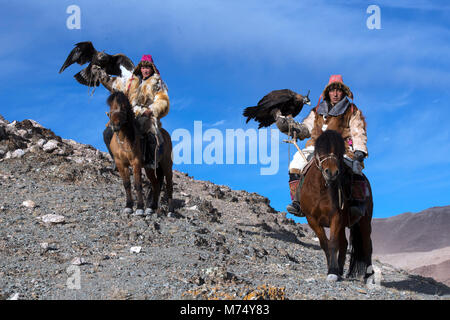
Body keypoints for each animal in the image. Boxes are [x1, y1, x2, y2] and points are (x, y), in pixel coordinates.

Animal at [300, 130, 374, 282]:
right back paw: (340, 269)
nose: (332, 172)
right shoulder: (312, 219)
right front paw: (332, 269)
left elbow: (333, 243)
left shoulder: (336, 216)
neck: (321, 189)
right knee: (345, 243)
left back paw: (369, 276)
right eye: (321, 149)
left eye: (340, 150)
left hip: (364, 221)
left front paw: (332, 272)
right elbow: (325, 244)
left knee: (367, 245)